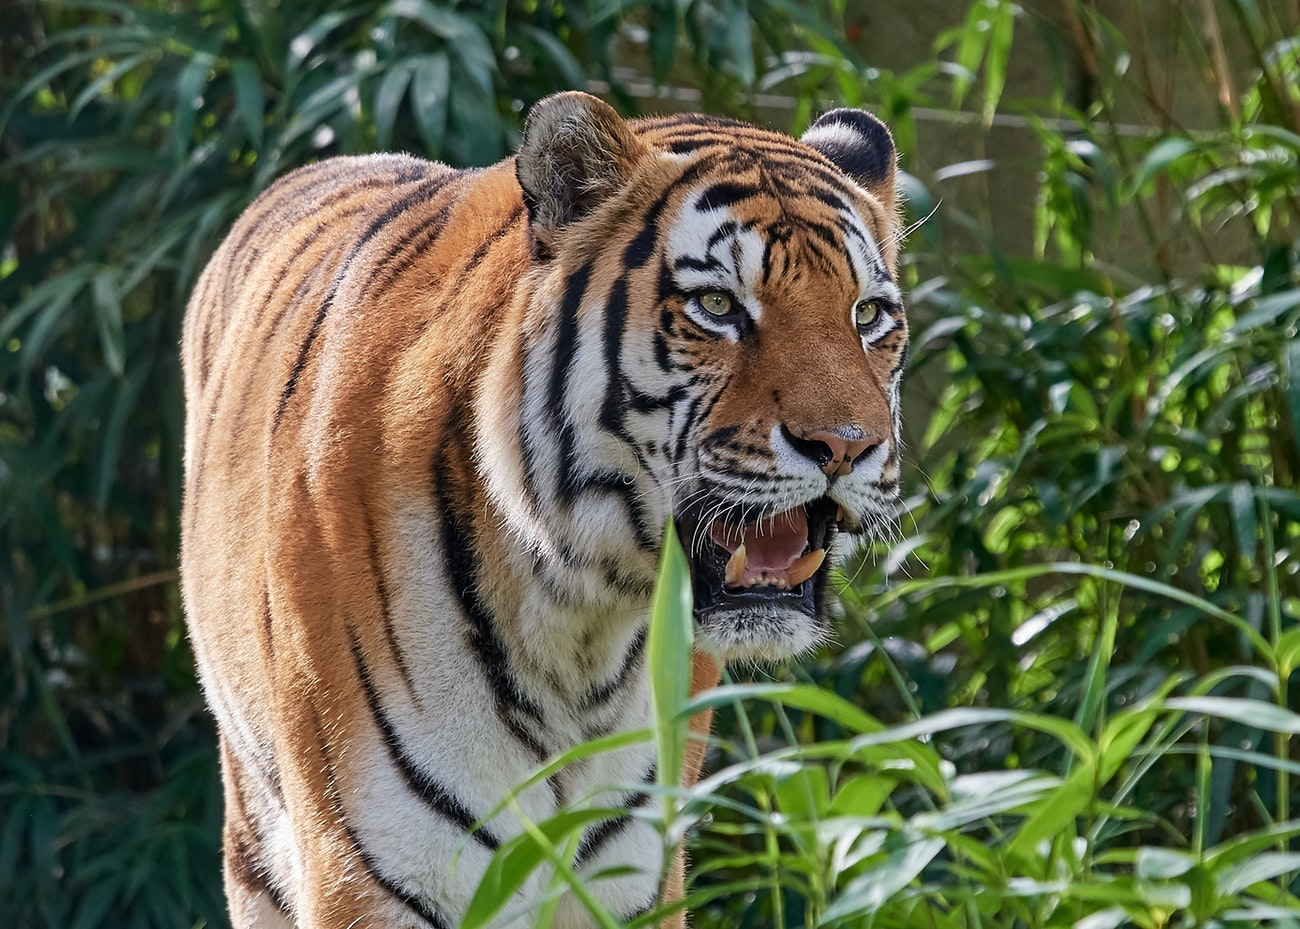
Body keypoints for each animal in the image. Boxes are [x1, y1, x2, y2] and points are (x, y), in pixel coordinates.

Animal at [180, 90, 907, 929]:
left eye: (868, 315)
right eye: (717, 305)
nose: (847, 446)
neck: (577, 624)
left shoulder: (636, 877)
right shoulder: (370, 871)